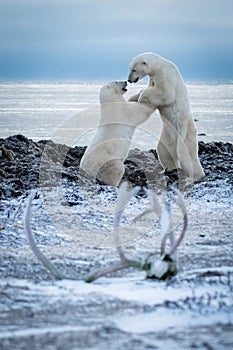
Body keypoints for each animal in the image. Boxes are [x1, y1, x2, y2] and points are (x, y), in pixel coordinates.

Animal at [128, 52, 205, 183]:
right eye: (130, 68)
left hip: (184, 132)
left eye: (134, 69)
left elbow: (165, 93)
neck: (159, 65)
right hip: (168, 134)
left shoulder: (165, 75)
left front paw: (141, 96)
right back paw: (168, 170)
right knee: (164, 151)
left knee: (186, 155)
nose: (129, 80)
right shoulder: (153, 78)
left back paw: (193, 177)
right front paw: (132, 97)